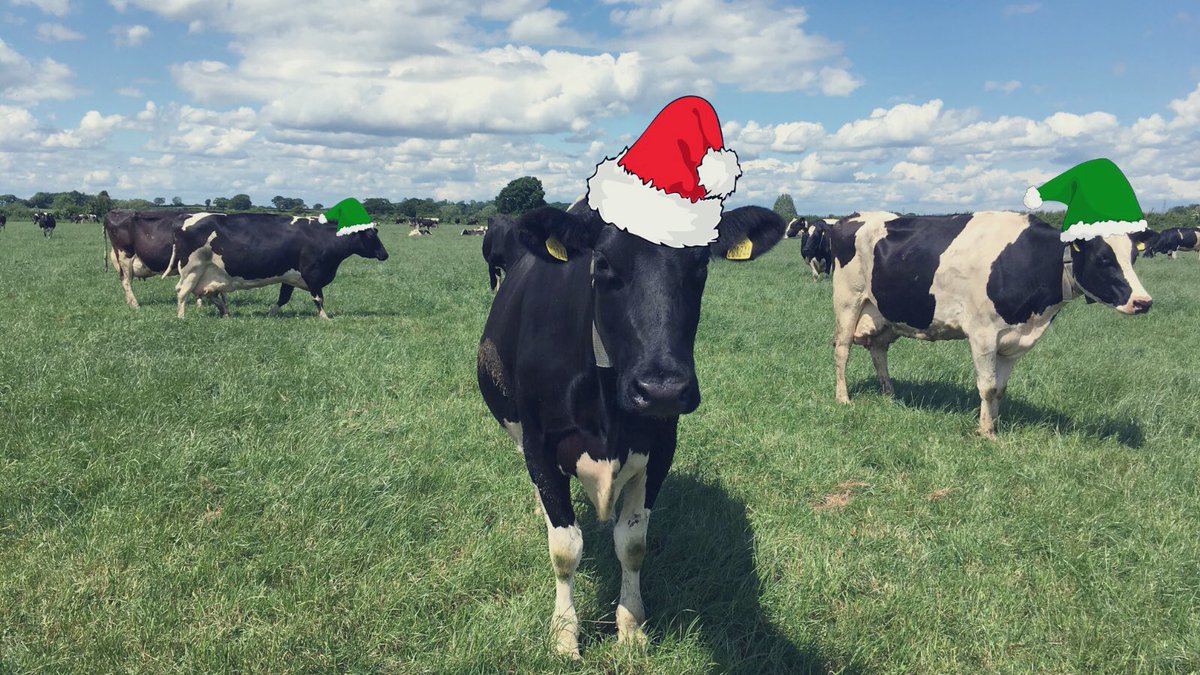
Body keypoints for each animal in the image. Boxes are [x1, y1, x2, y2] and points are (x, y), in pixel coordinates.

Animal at [170, 213, 389, 319]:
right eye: (371, 235)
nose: (385, 254)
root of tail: (184, 220)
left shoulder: (290, 277)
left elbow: (283, 298)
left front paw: (270, 314)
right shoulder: (313, 273)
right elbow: (318, 298)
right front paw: (325, 317)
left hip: (210, 275)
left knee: (210, 294)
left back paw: (226, 313)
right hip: (193, 269)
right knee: (182, 292)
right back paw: (182, 318)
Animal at [477, 202, 784, 657]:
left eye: (700, 263)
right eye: (602, 262)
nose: (662, 389)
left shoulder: (661, 446)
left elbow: (633, 543)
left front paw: (631, 624)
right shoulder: (541, 445)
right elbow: (565, 548)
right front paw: (564, 634)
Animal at [830, 211, 1153, 437]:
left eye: (1134, 256)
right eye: (1103, 259)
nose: (1143, 302)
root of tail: (849, 218)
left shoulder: (1012, 340)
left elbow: (999, 388)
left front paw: (994, 423)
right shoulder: (983, 334)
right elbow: (986, 386)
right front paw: (985, 432)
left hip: (883, 314)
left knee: (878, 351)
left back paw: (890, 395)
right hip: (848, 301)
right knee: (842, 349)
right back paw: (843, 398)